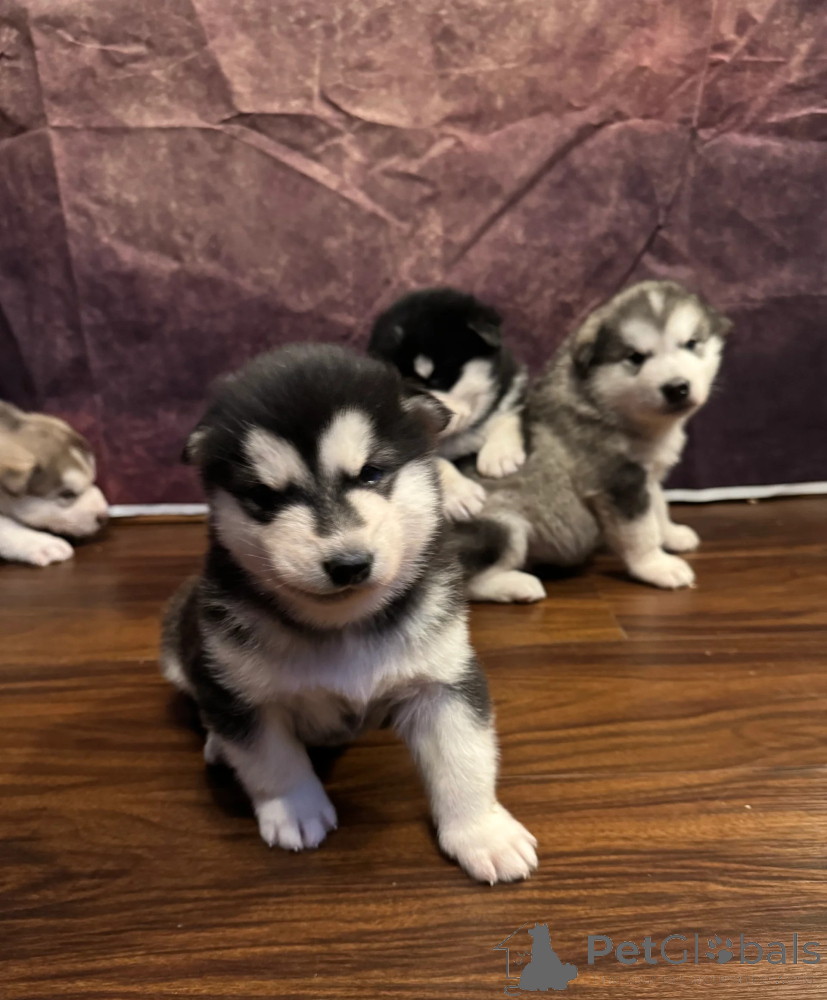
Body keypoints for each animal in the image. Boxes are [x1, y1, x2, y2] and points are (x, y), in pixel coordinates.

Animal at [160, 344, 537, 883]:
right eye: (266, 497)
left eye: (371, 474)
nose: (348, 564)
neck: (341, 628)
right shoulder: (239, 691)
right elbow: (271, 759)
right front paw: (294, 808)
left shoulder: (443, 682)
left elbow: (464, 760)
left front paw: (482, 832)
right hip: (182, 641)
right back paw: (216, 744)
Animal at [456, 281, 732, 601]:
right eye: (635, 358)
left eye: (690, 344)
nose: (677, 388)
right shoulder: (617, 481)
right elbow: (641, 531)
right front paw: (656, 566)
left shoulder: (645, 475)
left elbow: (659, 508)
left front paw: (672, 534)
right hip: (502, 525)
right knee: (464, 581)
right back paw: (516, 585)